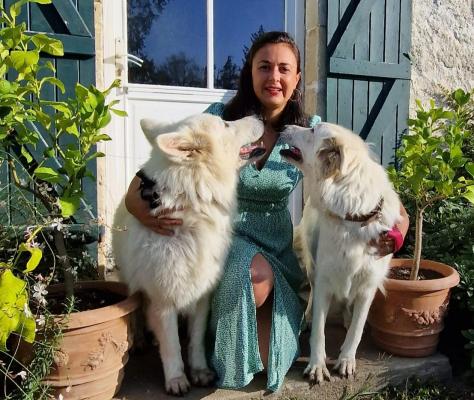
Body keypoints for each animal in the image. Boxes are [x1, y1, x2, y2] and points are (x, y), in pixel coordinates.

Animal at [112, 114, 264, 396]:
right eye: (226, 124)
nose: (259, 115)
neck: (194, 205)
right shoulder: (163, 300)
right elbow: (172, 345)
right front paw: (176, 379)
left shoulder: (202, 294)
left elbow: (196, 340)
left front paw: (200, 371)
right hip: (133, 281)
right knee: (136, 306)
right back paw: (140, 339)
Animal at [280, 122, 402, 384]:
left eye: (313, 130)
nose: (285, 125)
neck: (354, 215)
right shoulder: (324, 279)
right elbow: (319, 331)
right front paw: (317, 365)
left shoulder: (368, 286)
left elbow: (357, 329)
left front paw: (346, 360)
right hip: (313, 267)